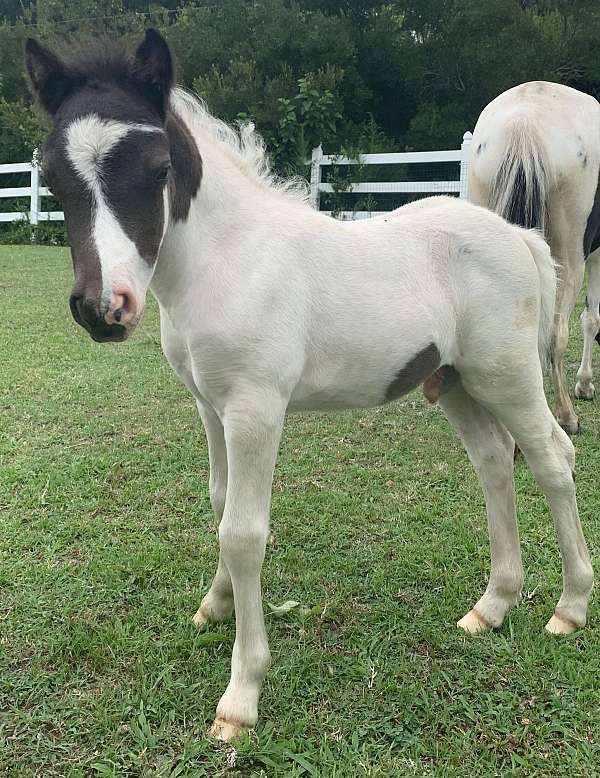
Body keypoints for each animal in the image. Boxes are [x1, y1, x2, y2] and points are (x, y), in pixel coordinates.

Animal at [468, 82, 600, 434]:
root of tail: (527, 119)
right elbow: (591, 318)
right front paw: (584, 384)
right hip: (569, 257)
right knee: (557, 333)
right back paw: (566, 415)